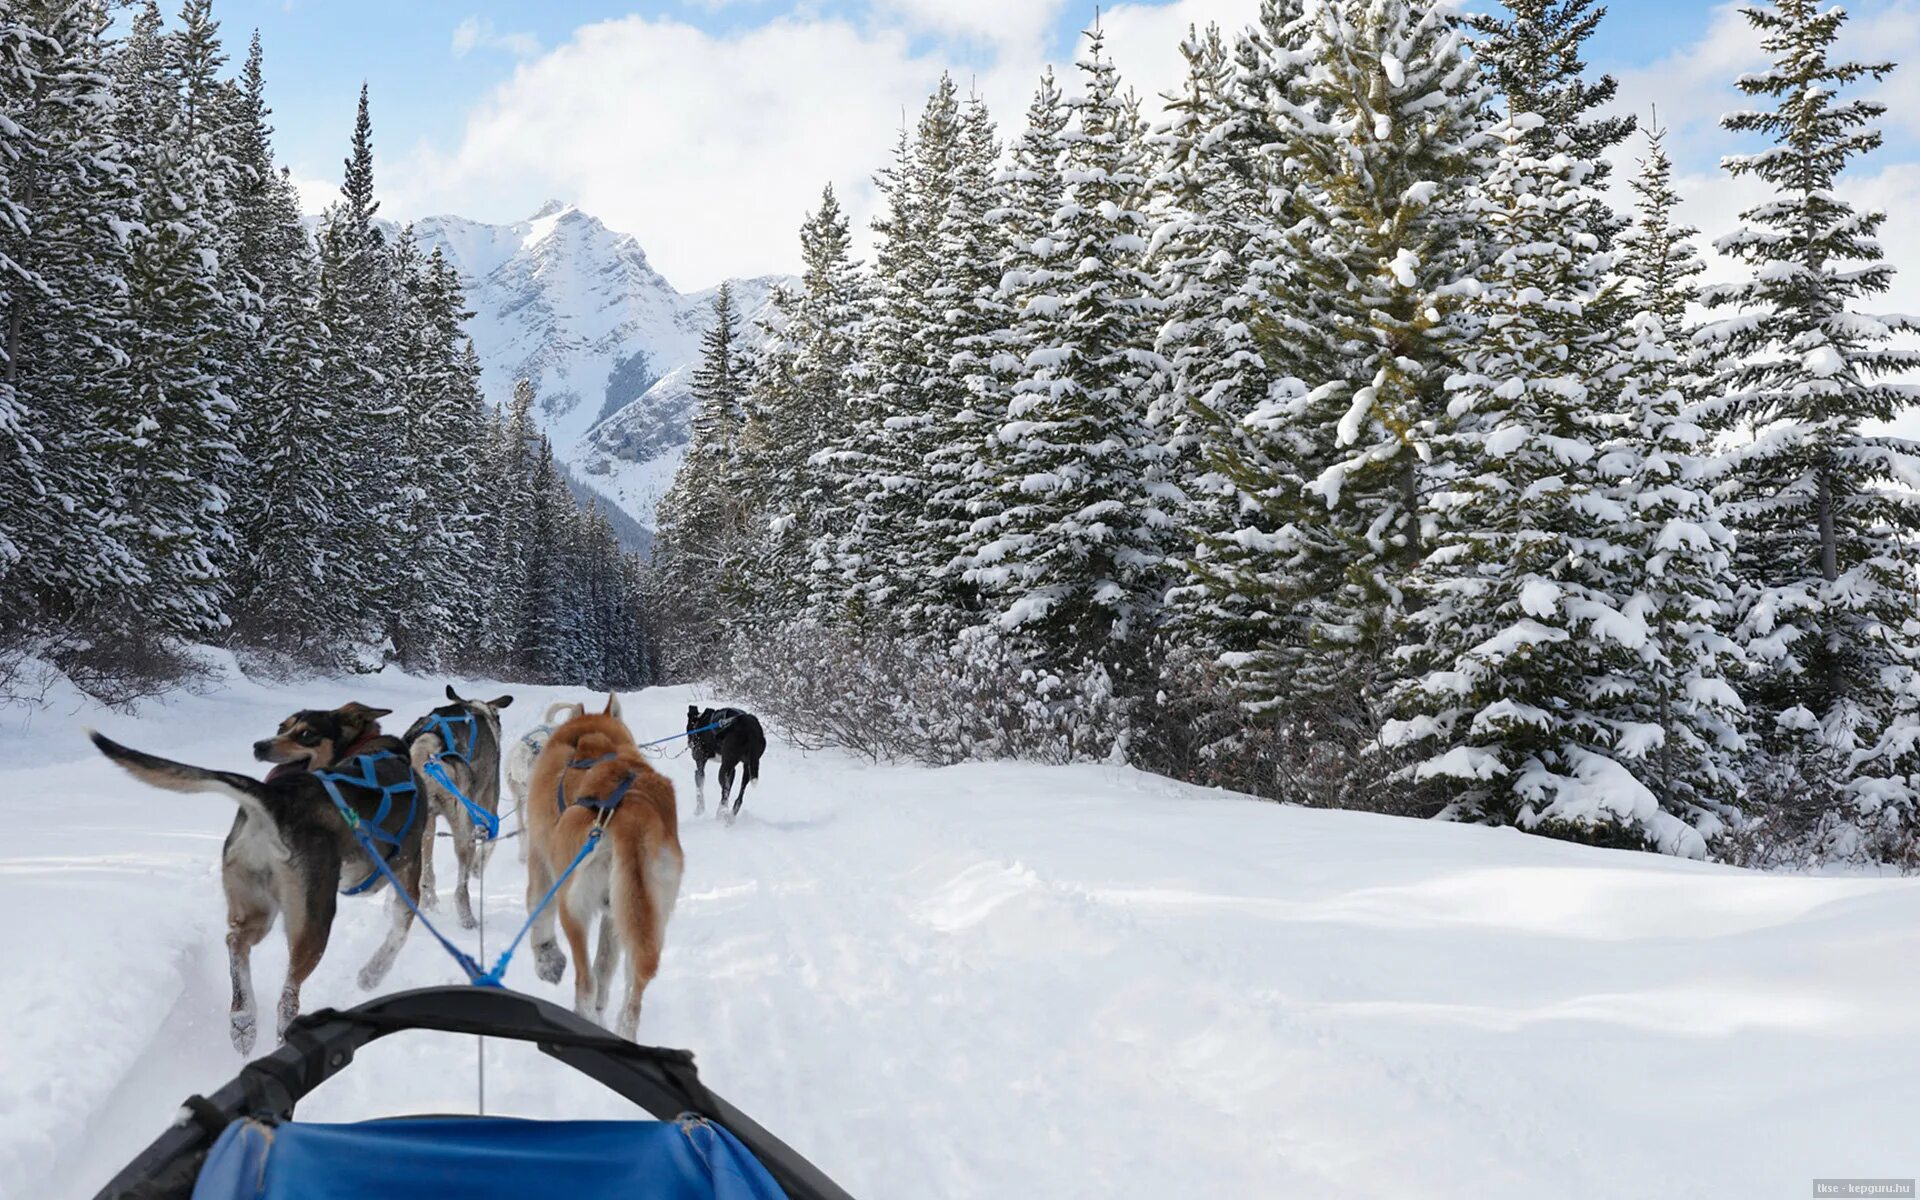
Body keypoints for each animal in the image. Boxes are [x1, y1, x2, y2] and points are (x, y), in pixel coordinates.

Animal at [87, 702, 424, 1044]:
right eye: (282, 727)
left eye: (306, 733)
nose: (260, 746)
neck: (369, 747)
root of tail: (275, 798)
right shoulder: (409, 869)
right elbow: (399, 930)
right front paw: (373, 974)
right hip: (314, 920)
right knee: (288, 994)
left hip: (255, 904)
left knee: (236, 941)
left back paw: (244, 1020)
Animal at [526, 698, 683, 1036]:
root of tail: (631, 815)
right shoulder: (613, 914)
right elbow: (605, 968)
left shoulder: (540, 861)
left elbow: (538, 912)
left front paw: (547, 961)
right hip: (644, 915)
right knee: (628, 988)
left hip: (573, 907)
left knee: (585, 981)